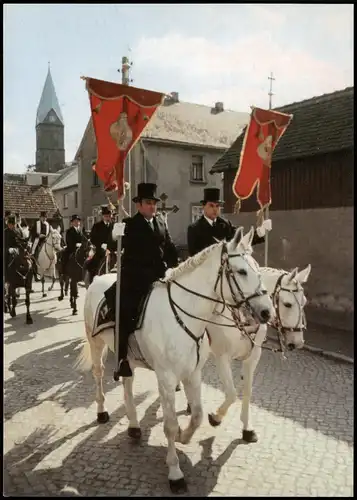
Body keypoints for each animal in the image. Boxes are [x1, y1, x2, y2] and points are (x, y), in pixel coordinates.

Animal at [76, 227, 274, 492]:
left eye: (257, 269)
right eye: (242, 271)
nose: (267, 312)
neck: (184, 315)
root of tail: (98, 279)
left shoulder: (193, 373)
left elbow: (198, 415)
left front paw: (185, 435)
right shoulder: (167, 378)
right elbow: (169, 425)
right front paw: (175, 472)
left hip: (127, 357)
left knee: (128, 384)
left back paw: (134, 425)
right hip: (96, 343)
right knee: (98, 374)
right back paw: (101, 411)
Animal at [193, 262, 310, 442]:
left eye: (304, 302)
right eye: (288, 304)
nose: (297, 342)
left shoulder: (252, 357)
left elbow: (247, 391)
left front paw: (247, 428)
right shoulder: (222, 357)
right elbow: (232, 394)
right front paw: (216, 417)